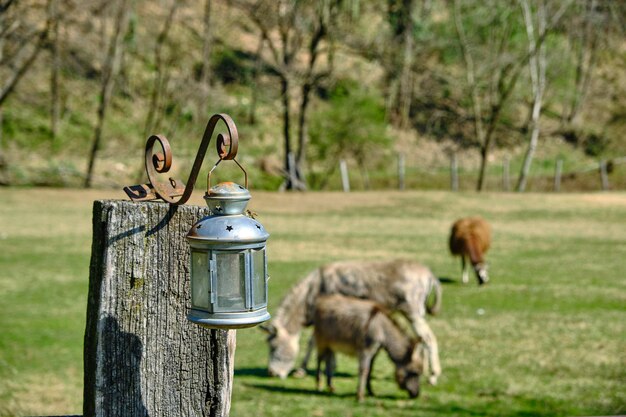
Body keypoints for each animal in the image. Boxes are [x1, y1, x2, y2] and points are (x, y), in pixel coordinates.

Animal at [258, 260, 438, 384]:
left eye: (273, 347)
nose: (271, 374)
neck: (313, 291)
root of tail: (429, 274)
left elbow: (312, 342)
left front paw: (302, 370)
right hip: (413, 314)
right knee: (422, 339)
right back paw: (422, 369)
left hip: (412, 312)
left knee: (429, 338)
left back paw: (433, 376)